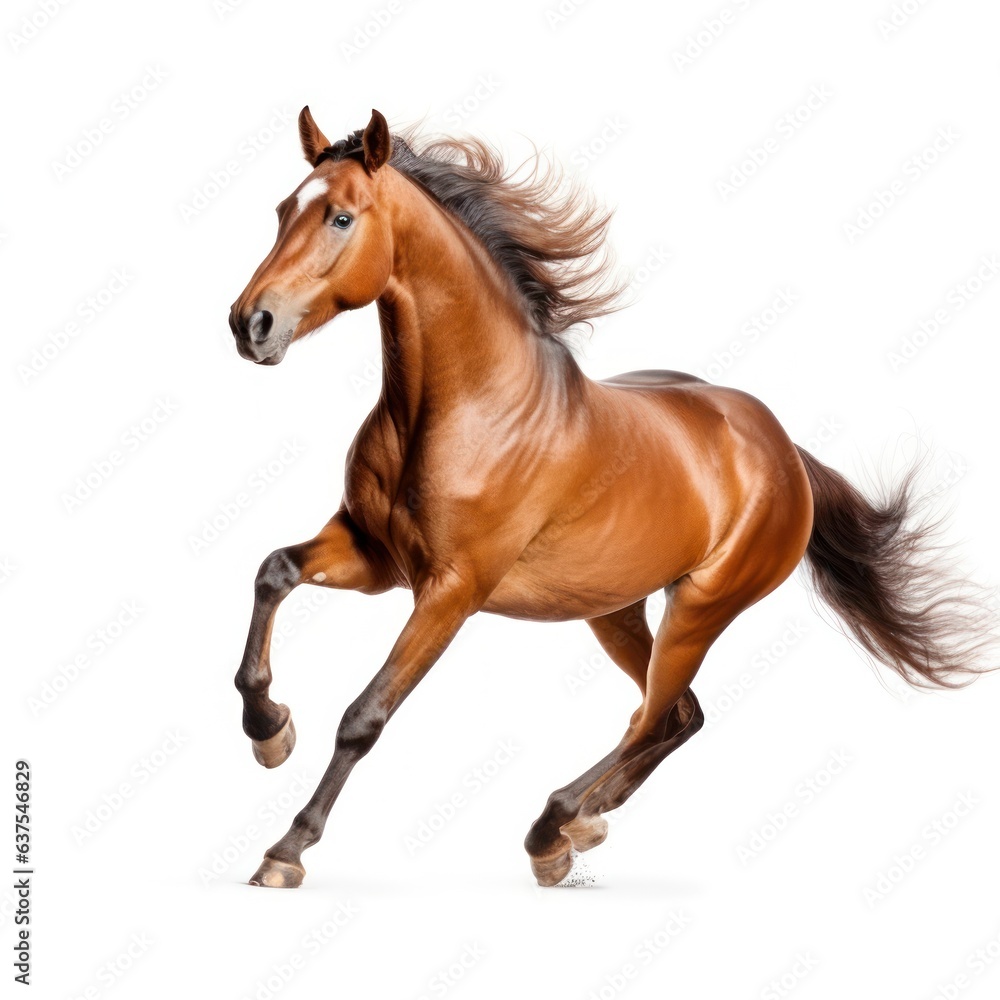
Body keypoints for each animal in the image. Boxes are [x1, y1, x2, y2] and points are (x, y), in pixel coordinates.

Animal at [228, 107, 993, 888]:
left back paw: (553, 826)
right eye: (283, 210)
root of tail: (784, 451)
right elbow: (273, 571)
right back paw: (582, 825)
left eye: (341, 217)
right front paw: (270, 730)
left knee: (654, 717)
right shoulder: (375, 554)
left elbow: (366, 715)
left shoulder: (451, 590)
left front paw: (285, 850)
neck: (467, 406)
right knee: (680, 716)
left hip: (701, 608)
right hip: (615, 611)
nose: (250, 323)